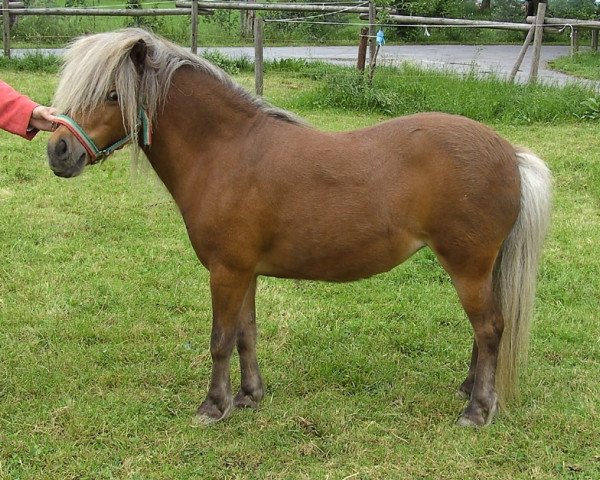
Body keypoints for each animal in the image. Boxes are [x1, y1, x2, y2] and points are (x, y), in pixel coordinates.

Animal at [48, 29, 552, 428]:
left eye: (113, 95)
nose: (58, 151)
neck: (226, 151)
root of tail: (510, 153)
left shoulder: (226, 272)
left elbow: (219, 340)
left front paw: (213, 406)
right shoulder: (244, 273)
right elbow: (246, 334)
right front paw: (249, 396)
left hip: (467, 267)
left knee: (489, 328)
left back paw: (477, 410)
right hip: (479, 270)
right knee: (483, 331)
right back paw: (468, 390)